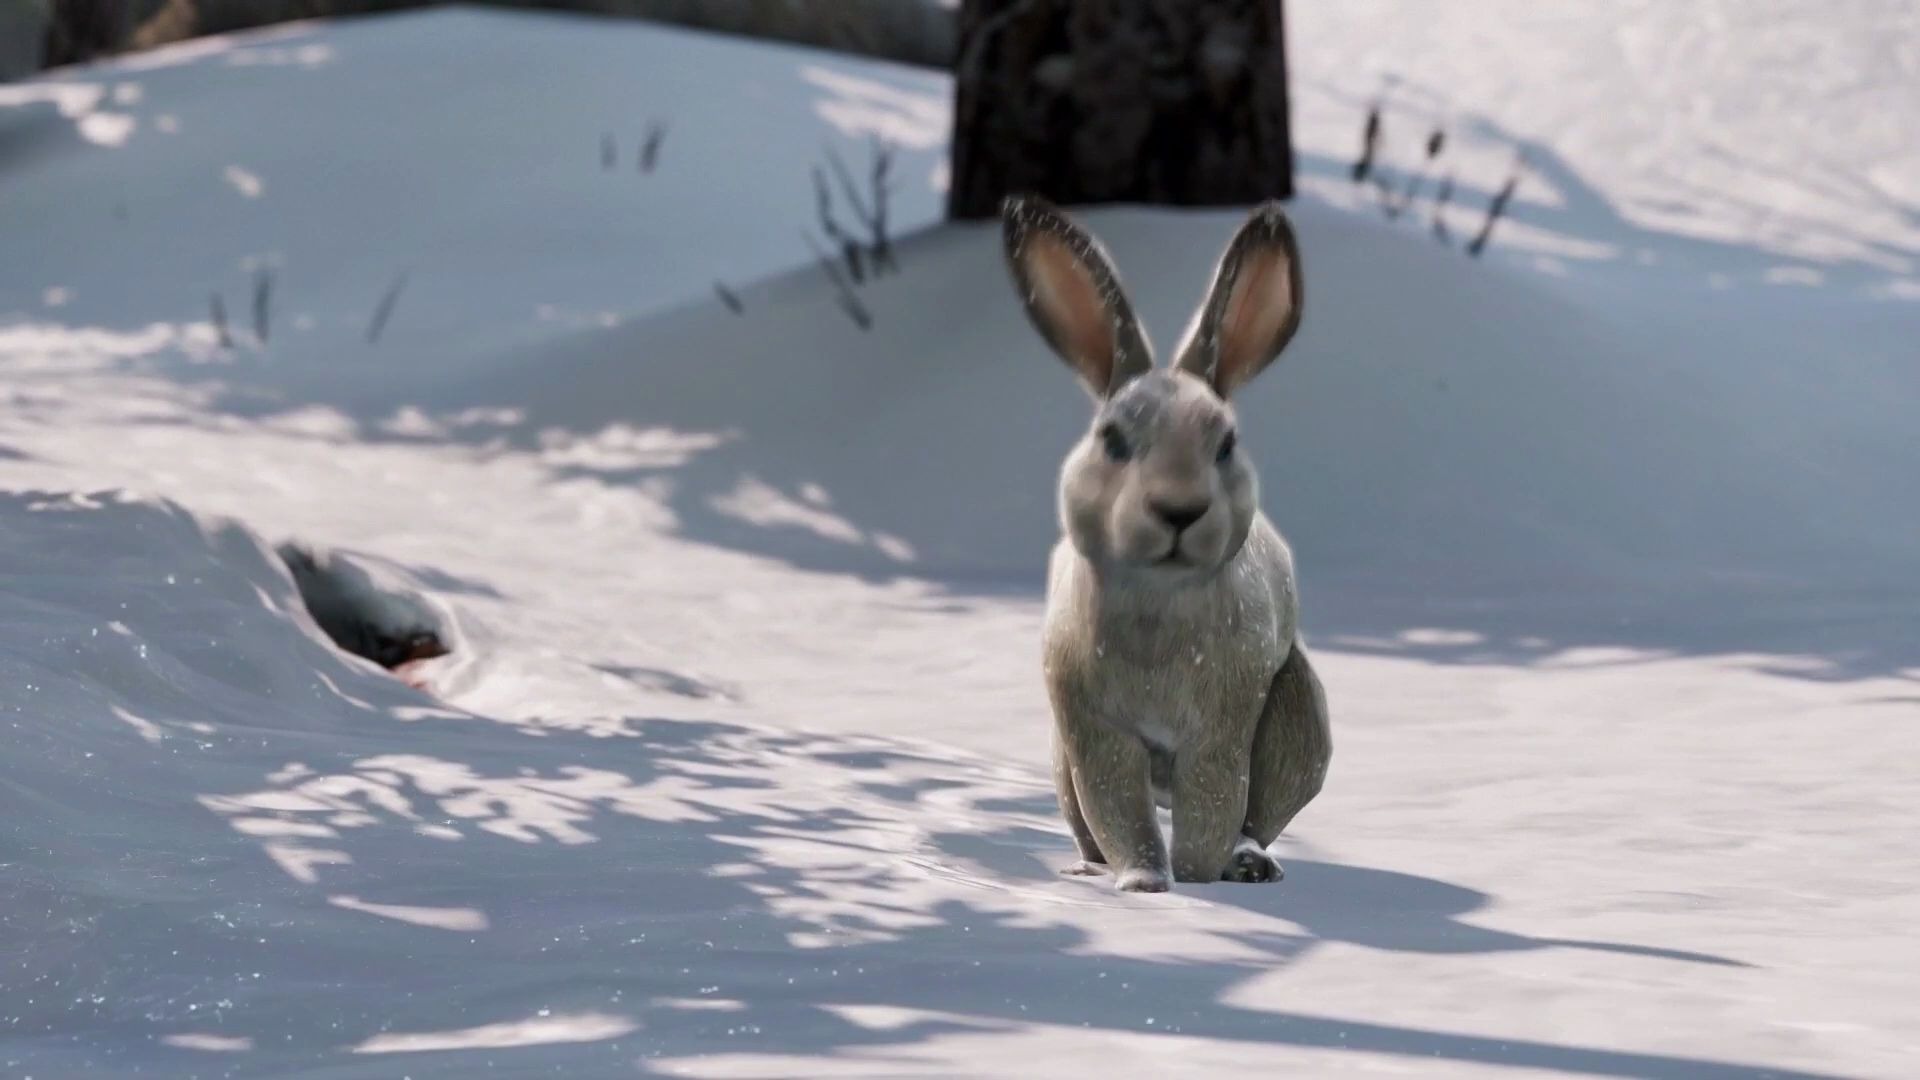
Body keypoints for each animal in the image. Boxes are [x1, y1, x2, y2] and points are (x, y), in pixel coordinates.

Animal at [1006, 193, 1336, 891]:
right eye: (1112, 439)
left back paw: (1251, 866)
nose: (1179, 509)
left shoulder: (1222, 727)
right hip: (1059, 758)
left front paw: (1193, 882)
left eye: (1227, 443)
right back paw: (1087, 868)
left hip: (1300, 719)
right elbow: (1119, 809)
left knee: (1262, 811)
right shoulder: (1090, 724)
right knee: (1086, 818)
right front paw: (1145, 885)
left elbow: (1211, 807)